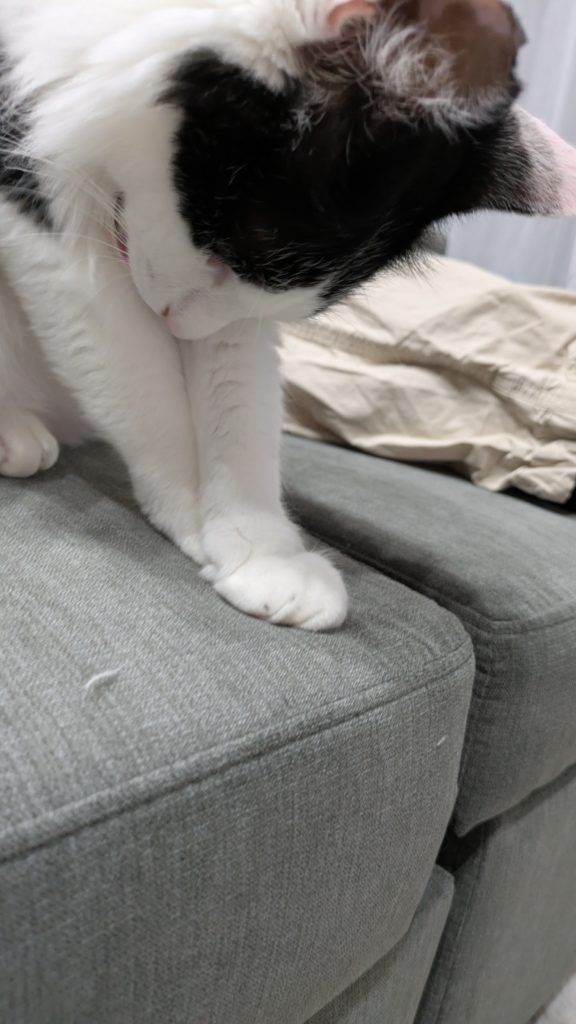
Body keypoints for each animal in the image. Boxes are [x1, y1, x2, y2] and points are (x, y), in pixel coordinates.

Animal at [0, 0, 575, 631]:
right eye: (227, 246)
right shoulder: (52, 229)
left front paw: (259, 550)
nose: (175, 322)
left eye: (246, 264)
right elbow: (145, 395)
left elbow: (239, 408)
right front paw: (190, 515)